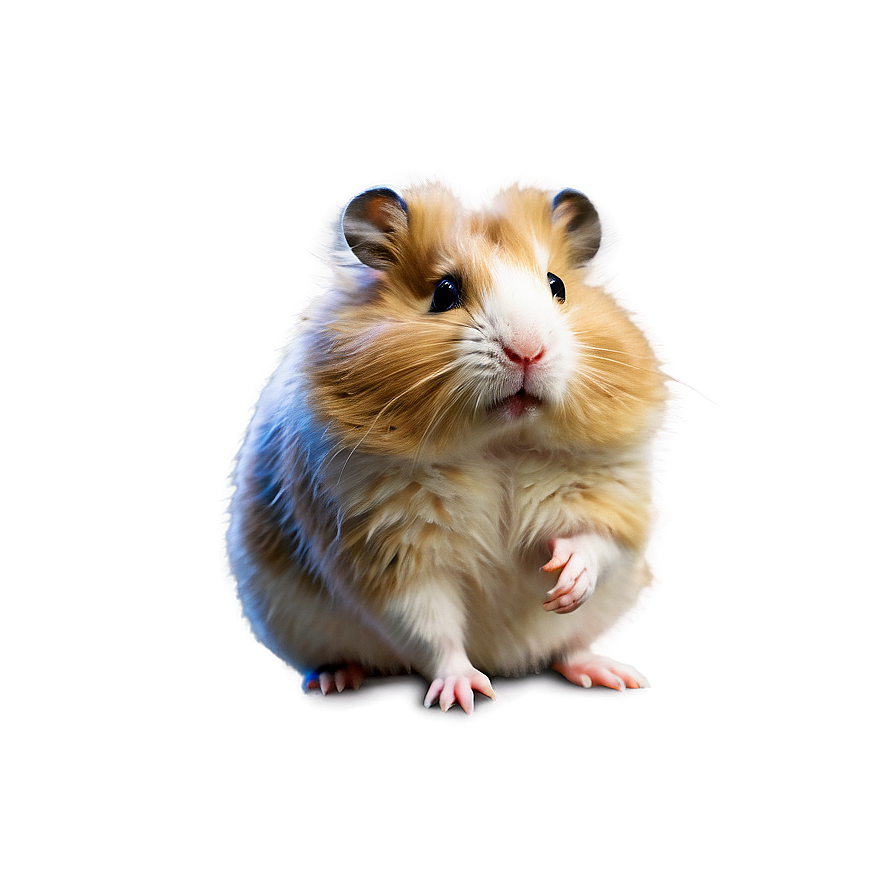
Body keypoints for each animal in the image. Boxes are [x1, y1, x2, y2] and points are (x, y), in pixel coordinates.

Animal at [225, 178, 671, 714]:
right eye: (445, 292)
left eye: (556, 286)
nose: (528, 351)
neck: (500, 447)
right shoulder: (389, 552)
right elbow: (431, 627)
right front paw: (465, 697)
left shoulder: (613, 494)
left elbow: (597, 543)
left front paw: (562, 580)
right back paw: (338, 680)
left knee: (568, 649)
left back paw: (614, 675)